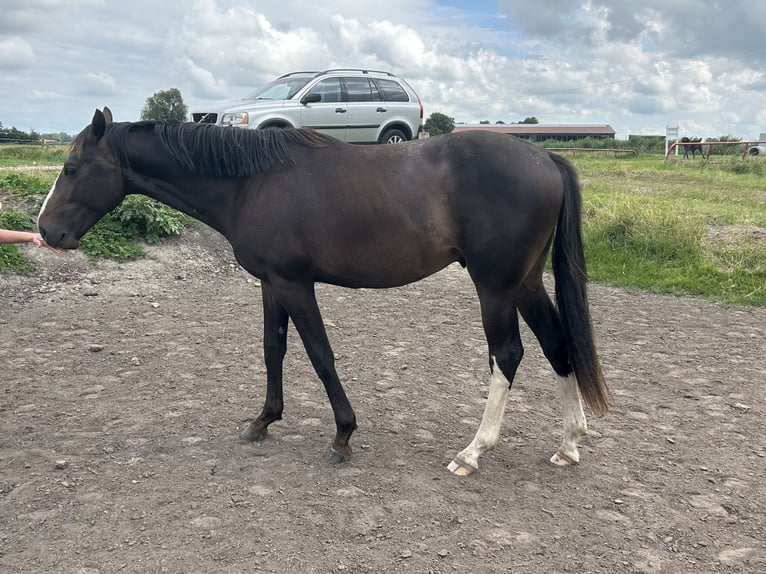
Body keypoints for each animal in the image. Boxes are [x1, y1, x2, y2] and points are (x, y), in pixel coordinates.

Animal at [38, 108, 611, 476]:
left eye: (71, 168)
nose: (46, 232)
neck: (253, 182)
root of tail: (546, 160)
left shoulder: (295, 284)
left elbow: (320, 354)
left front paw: (343, 435)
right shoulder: (271, 283)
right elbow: (273, 349)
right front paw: (263, 422)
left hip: (494, 287)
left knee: (507, 355)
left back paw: (472, 452)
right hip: (525, 283)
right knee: (558, 345)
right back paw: (569, 445)